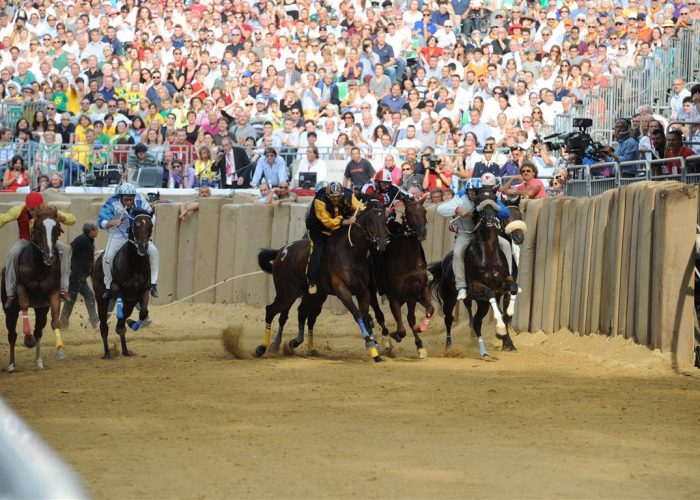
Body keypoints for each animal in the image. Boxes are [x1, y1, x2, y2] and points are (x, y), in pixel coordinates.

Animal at [1, 206, 65, 372]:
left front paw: (60, 349)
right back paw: (11, 365)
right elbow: (24, 305)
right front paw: (28, 339)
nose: (49, 256)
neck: (40, 267)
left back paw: (39, 361)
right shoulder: (21, 287)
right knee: (12, 334)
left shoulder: (53, 292)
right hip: (9, 310)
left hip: (41, 309)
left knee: (38, 331)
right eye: (38, 228)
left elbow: (55, 321)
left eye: (56, 228)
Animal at [91, 208, 153, 360]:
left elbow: (143, 312)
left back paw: (125, 350)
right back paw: (107, 353)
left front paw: (131, 323)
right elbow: (119, 314)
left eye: (151, 225)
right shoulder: (117, 288)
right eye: (136, 224)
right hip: (101, 299)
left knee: (123, 318)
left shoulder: (142, 291)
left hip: (129, 302)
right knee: (103, 326)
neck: (135, 263)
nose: (142, 246)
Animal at [256, 203, 388, 364]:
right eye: (370, 220)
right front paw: (371, 345)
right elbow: (357, 314)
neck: (350, 253)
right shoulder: (342, 291)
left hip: (313, 295)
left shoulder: (364, 291)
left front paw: (374, 349)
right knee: (272, 311)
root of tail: (282, 252)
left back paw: (299, 344)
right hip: (286, 293)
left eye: (385, 220)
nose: (382, 243)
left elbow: (366, 317)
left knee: (303, 313)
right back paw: (264, 347)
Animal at [370, 197, 434, 358]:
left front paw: (420, 341)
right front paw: (396, 335)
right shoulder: (394, 297)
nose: (422, 232)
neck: (408, 263)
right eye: (409, 212)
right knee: (379, 315)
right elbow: (401, 329)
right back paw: (387, 341)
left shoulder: (417, 292)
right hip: (370, 290)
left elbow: (423, 313)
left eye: (424, 211)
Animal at [426, 186, 520, 358]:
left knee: (476, 322)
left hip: (480, 303)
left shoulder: (505, 283)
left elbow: (513, 290)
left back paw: (484, 352)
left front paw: (506, 336)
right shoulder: (476, 287)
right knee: (449, 319)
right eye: (478, 200)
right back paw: (449, 348)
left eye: (494, 199)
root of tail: (444, 264)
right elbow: (489, 293)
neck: (488, 255)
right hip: (449, 298)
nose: (489, 217)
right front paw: (500, 329)